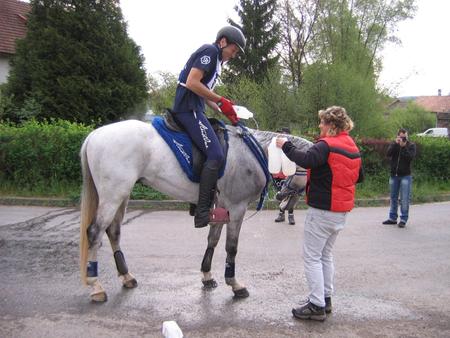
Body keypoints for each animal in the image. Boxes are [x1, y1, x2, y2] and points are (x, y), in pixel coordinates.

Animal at [80, 119, 312, 302]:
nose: (282, 199)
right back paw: (96, 285)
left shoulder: (222, 207)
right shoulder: (237, 208)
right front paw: (234, 284)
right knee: (94, 232)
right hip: (113, 195)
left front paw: (207, 275)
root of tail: (94, 135)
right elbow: (231, 247)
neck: (253, 153)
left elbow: (213, 240)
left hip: (122, 195)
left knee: (113, 231)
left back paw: (126, 277)